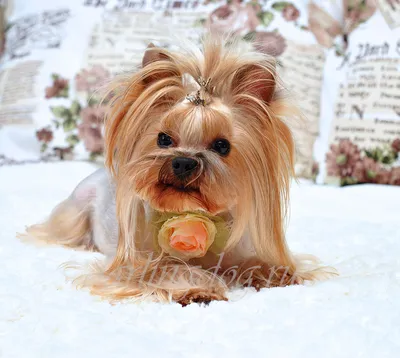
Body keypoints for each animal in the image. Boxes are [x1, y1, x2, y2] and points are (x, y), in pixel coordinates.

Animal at [19, 37, 332, 304]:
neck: (189, 212)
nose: (183, 162)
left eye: (222, 145)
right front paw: (199, 288)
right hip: (75, 212)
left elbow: (251, 262)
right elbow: (168, 268)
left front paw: (274, 272)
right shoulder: (131, 264)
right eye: (163, 139)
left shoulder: (236, 248)